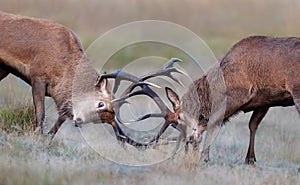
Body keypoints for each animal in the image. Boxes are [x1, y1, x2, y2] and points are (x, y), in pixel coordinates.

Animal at [151, 35, 300, 165]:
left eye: (179, 117)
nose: (189, 140)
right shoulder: (264, 101)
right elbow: (253, 125)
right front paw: (250, 159)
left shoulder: (238, 94)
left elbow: (213, 120)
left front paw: (205, 157)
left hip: (296, 91)